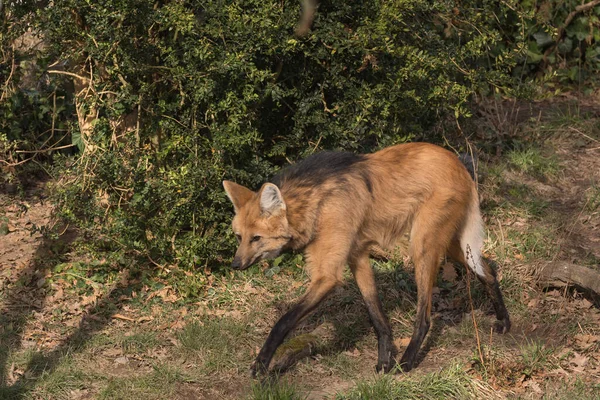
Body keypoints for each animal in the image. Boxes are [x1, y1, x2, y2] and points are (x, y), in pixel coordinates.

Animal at [224, 142, 510, 376]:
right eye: (239, 237)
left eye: (256, 238)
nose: (235, 265)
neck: (315, 205)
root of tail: (458, 163)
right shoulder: (357, 256)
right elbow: (376, 314)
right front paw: (384, 359)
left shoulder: (327, 276)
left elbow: (283, 322)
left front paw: (261, 364)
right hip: (449, 244)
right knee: (487, 270)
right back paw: (504, 321)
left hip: (422, 246)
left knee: (425, 316)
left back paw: (407, 362)